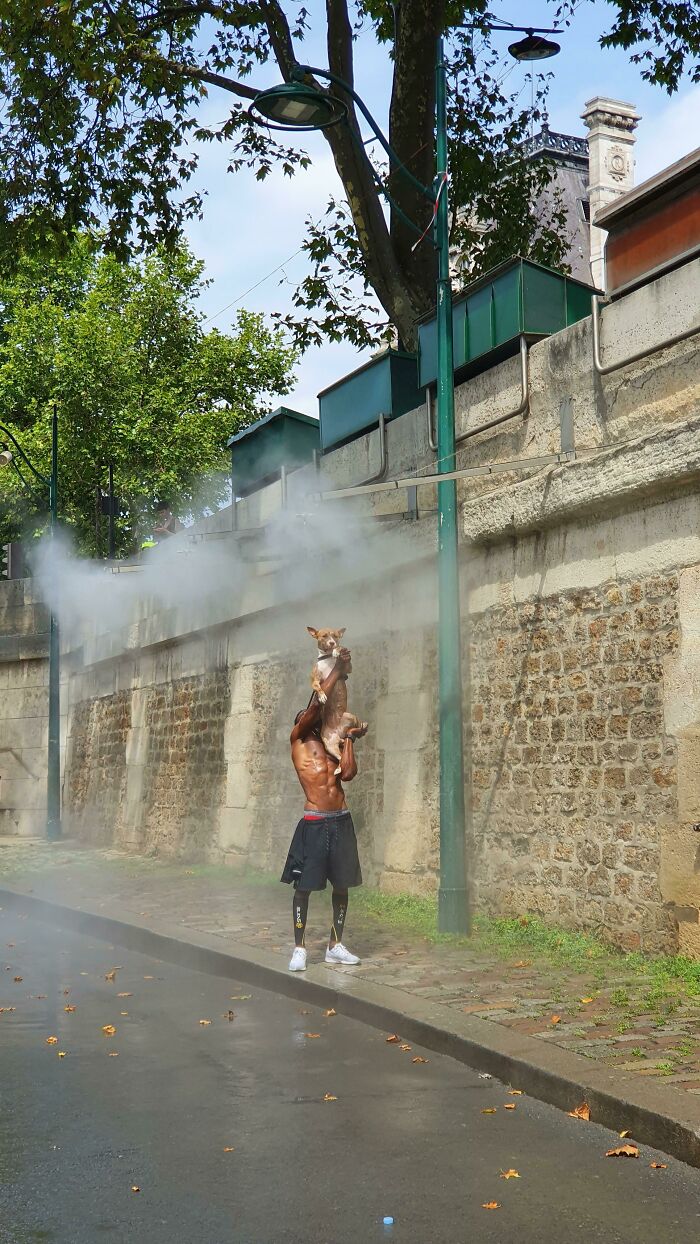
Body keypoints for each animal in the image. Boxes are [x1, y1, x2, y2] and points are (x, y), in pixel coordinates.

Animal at [309, 626, 370, 771]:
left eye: (335, 636)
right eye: (324, 636)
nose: (332, 643)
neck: (327, 658)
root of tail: (340, 733)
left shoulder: (347, 669)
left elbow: (342, 653)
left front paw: (337, 651)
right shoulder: (315, 680)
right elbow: (317, 687)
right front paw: (322, 696)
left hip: (349, 716)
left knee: (358, 724)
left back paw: (363, 726)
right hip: (329, 745)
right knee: (340, 758)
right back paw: (338, 769)